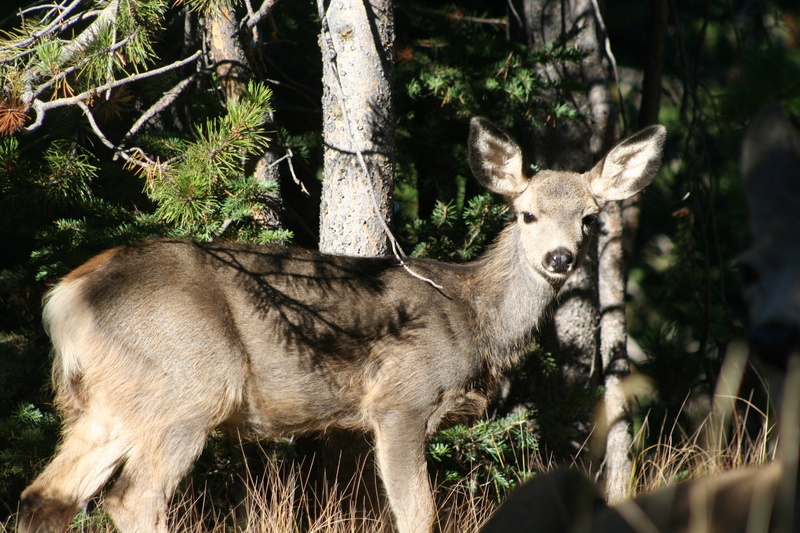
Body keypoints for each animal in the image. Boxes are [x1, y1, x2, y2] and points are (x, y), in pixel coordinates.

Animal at [17, 117, 666, 533]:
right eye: (526, 213)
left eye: (589, 218)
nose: (559, 258)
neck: (473, 317)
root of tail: (67, 297)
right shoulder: (400, 399)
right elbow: (416, 514)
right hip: (187, 386)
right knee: (130, 500)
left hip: (109, 401)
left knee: (42, 497)